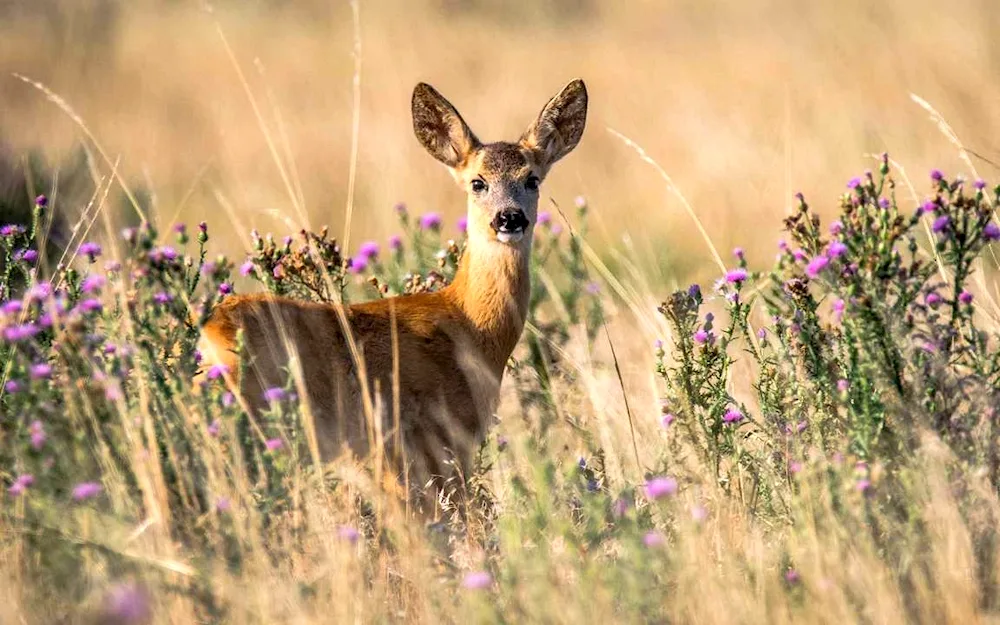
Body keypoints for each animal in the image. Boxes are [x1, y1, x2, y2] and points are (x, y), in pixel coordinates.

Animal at [197, 79, 584, 508]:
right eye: (477, 182)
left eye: (532, 179)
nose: (509, 217)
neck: (471, 327)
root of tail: (209, 333)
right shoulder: (431, 443)